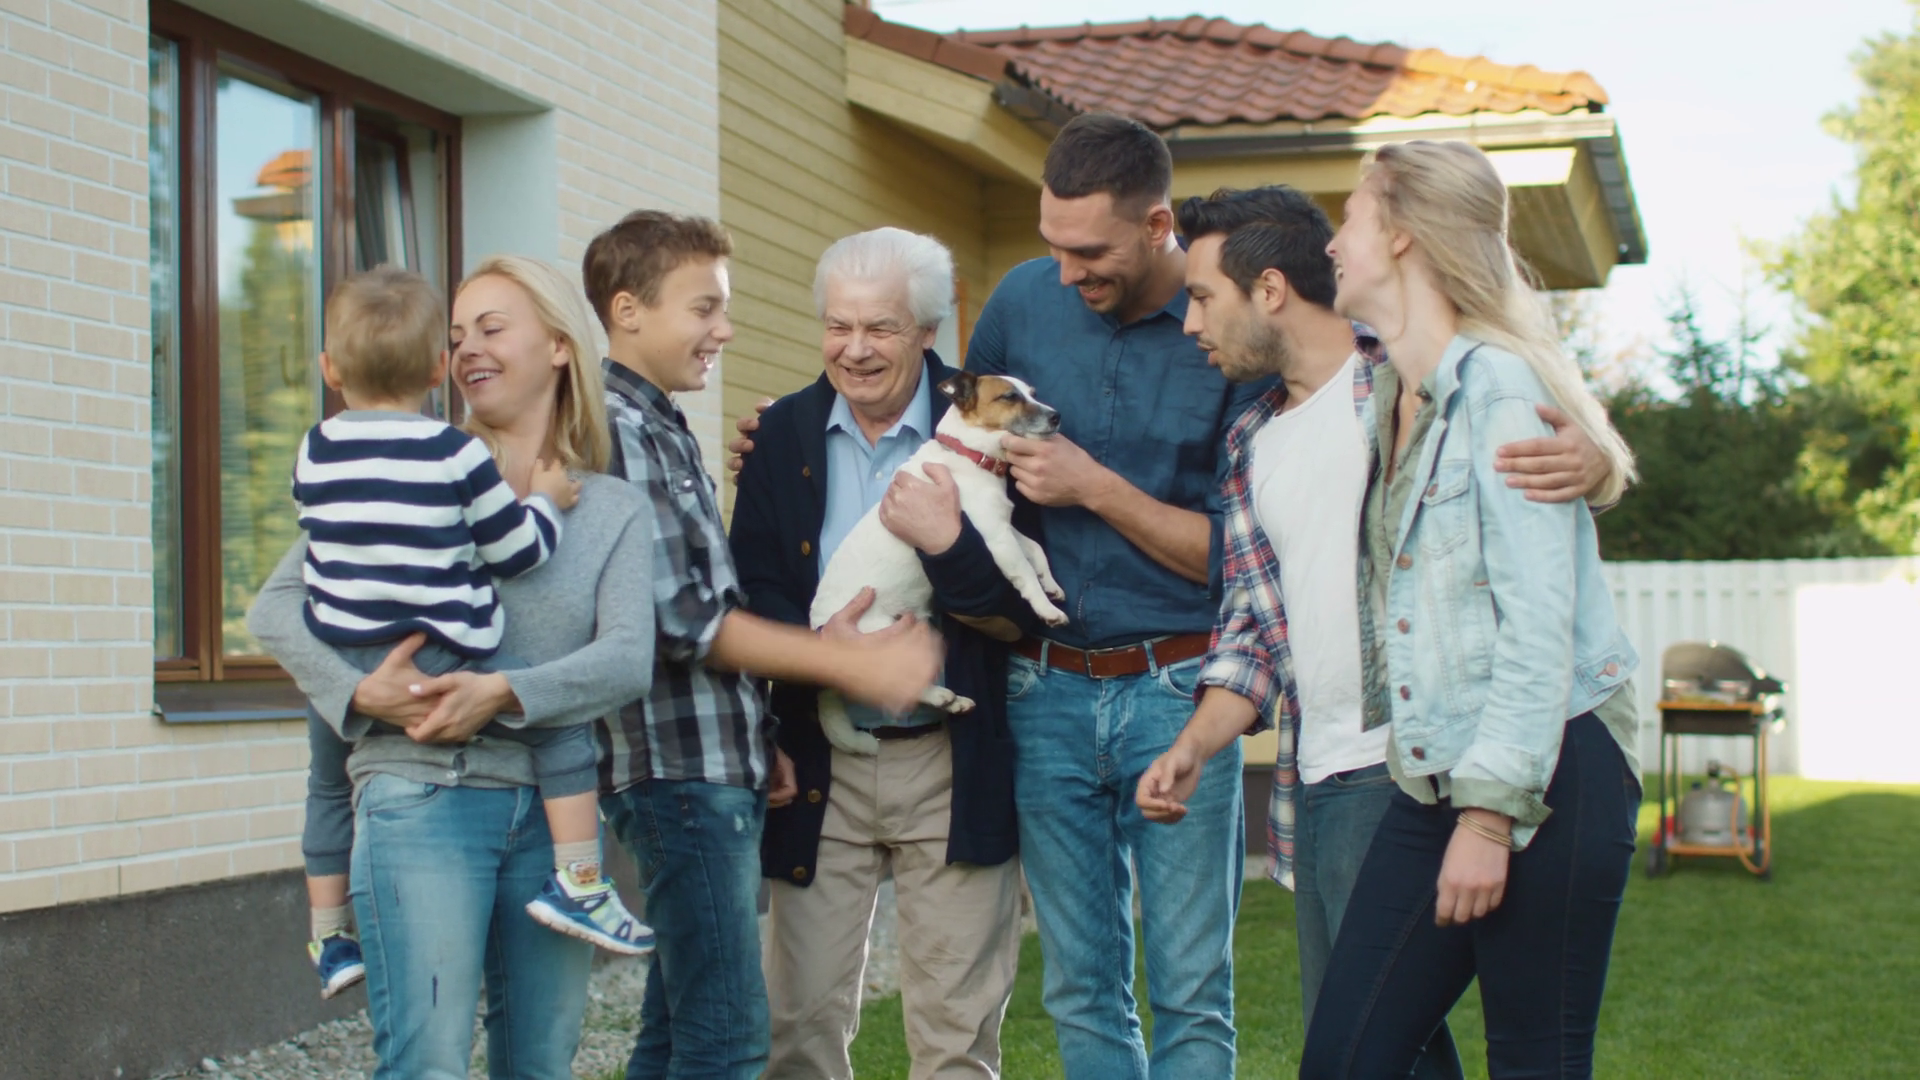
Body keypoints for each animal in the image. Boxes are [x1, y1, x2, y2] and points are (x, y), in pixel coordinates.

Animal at [808, 370, 1068, 755]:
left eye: (1033, 392)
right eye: (1009, 397)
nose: (1056, 416)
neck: (969, 455)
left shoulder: (1002, 526)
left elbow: (1035, 550)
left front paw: (1051, 584)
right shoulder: (996, 538)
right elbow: (1023, 573)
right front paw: (1046, 608)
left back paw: (955, 701)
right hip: (884, 638)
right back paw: (944, 696)